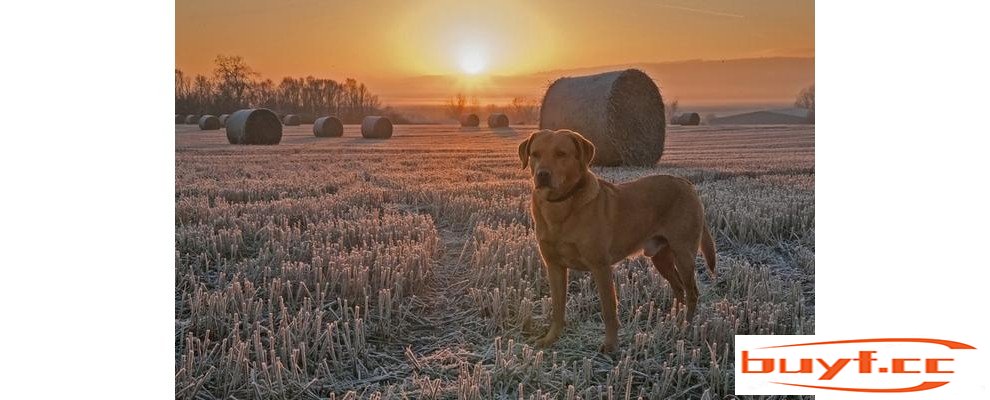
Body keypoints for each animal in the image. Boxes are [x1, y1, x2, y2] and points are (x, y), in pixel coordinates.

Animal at [524, 130, 716, 352]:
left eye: (561, 154)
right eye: (535, 154)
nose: (542, 175)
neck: (560, 207)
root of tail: (686, 183)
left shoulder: (601, 266)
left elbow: (609, 310)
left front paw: (610, 345)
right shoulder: (554, 266)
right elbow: (557, 308)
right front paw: (551, 338)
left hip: (683, 254)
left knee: (692, 292)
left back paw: (686, 327)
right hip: (661, 258)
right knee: (678, 289)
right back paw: (675, 322)